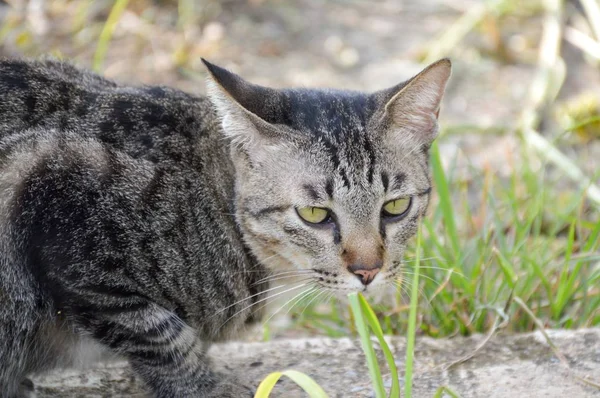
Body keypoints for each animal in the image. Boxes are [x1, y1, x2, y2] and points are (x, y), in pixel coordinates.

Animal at [0, 56, 450, 398]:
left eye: (395, 207)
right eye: (314, 214)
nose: (368, 271)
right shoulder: (55, 195)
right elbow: (161, 334)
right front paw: (208, 387)